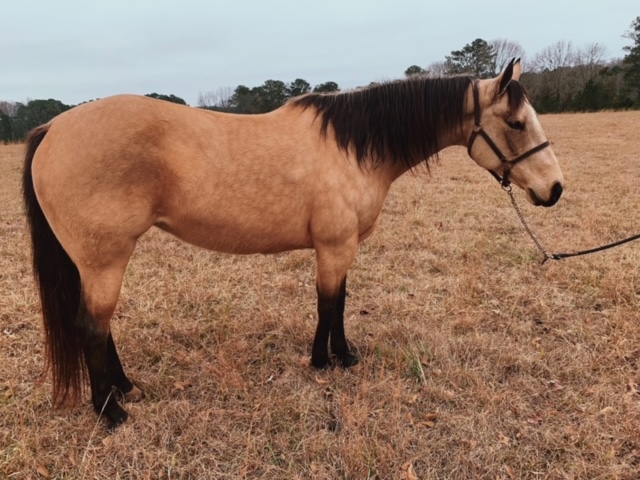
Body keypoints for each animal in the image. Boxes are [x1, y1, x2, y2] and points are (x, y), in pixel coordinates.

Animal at [22, 59, 564, 428]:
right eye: (516, 123)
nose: (554, 189)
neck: (352, 148)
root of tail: (54, 128)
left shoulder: (343, 248)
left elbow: (340, 301)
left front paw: (344, 356)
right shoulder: (334, 245)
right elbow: (327, 303)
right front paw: (324, 362)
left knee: (100, 327)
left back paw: (125, 389)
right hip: (104, 259)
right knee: (91, 327)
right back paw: (110, 411)